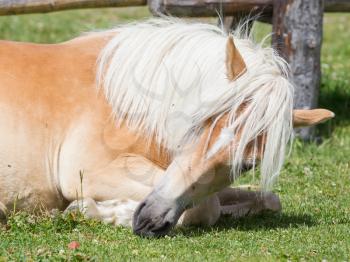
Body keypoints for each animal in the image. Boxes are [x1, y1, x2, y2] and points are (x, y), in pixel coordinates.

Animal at [0, 18, 334, 235]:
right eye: (198, 123)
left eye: (247, 164)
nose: (149, 219)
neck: (124, 100)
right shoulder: (88, 171)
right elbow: (206, 208)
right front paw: (91, 209)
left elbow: (267, 199)